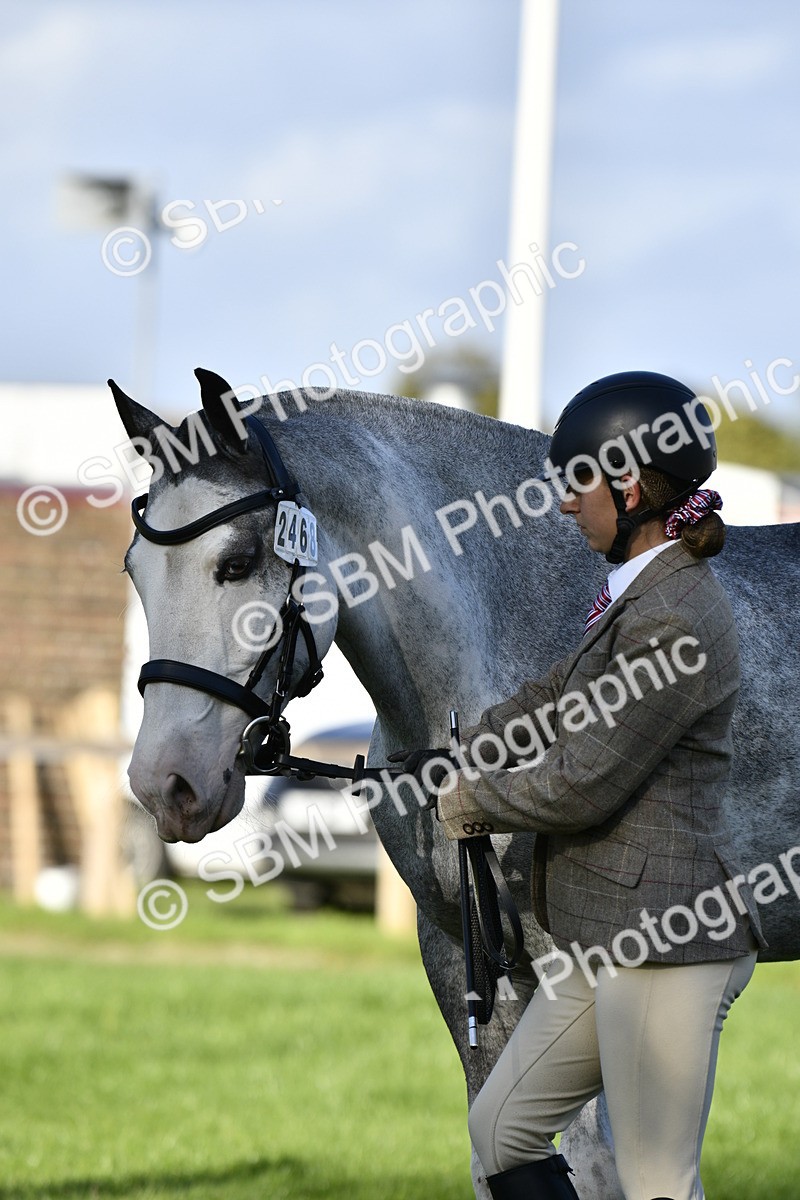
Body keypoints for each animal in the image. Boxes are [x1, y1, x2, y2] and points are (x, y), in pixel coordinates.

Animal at [112, 369, 800, 1199]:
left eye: (239, 561)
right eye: (134, 570)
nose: (166, 785)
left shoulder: (577, 962)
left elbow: (595, 1165)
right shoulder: (459, 952)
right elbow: (493, 1147)